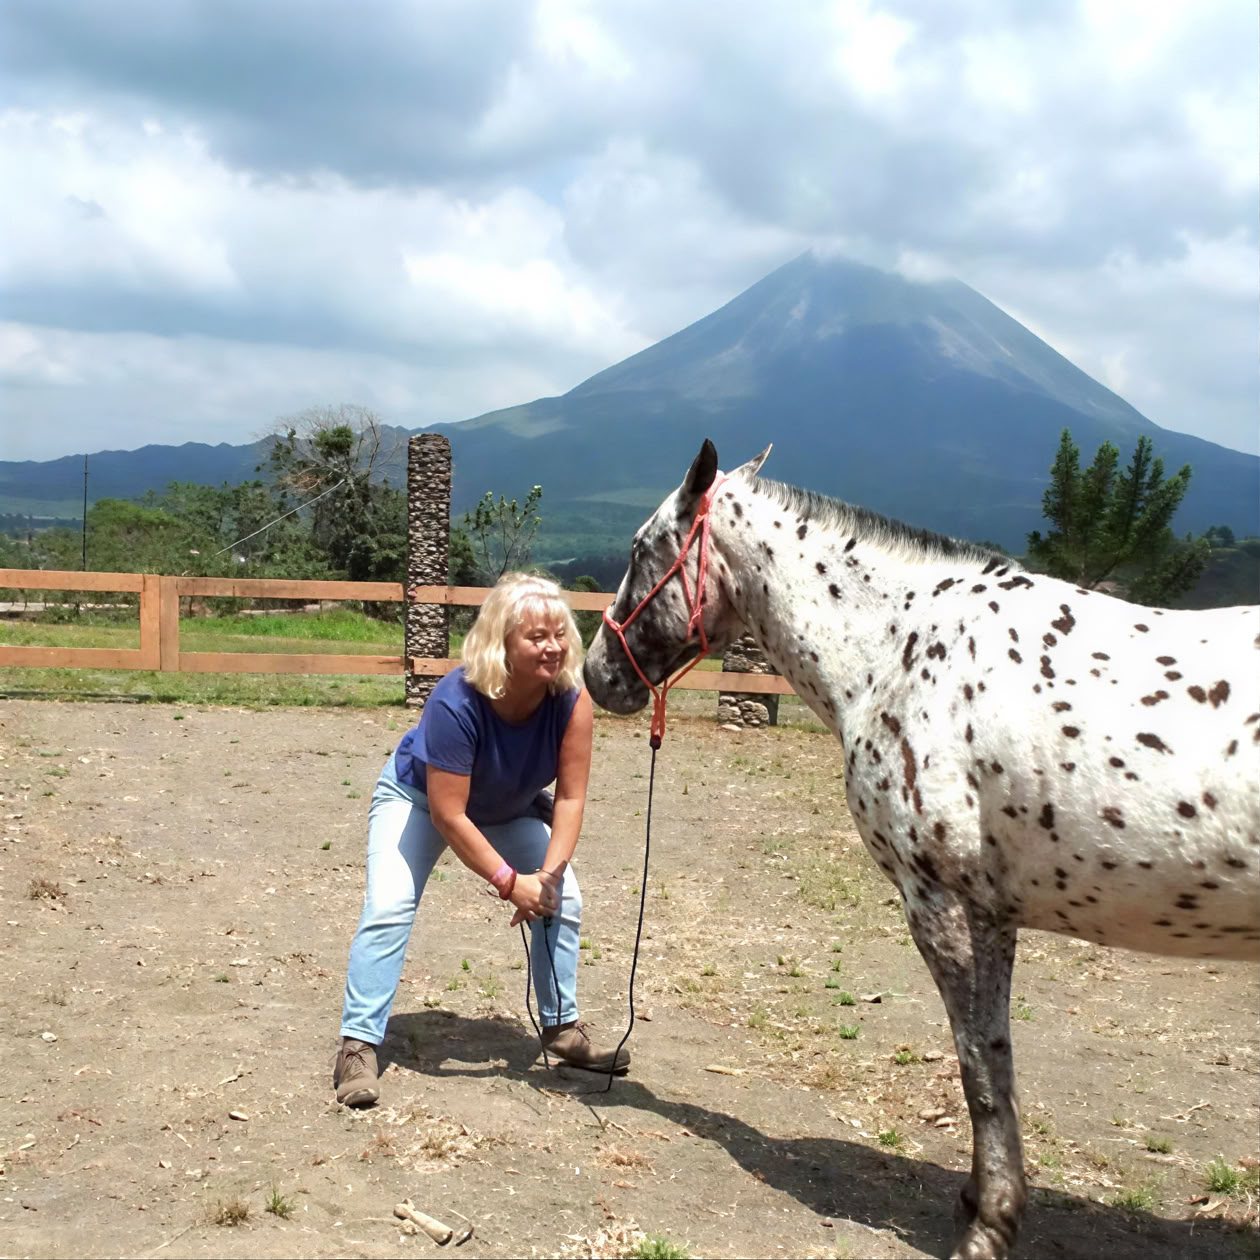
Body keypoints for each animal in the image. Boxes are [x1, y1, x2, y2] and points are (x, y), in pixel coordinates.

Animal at [583, 439, 1260, 1260]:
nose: (595, 673)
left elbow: (976, 1063)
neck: (899, 649)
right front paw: (984, 1200)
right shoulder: (993, 914)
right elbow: (996, 1056)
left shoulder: (937, 900)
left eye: (640, 548)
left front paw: (989, 1224)